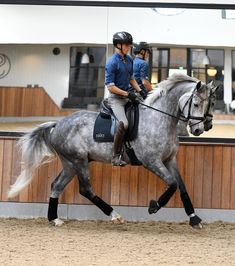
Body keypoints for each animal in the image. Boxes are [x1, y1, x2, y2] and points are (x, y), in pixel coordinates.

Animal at [8, 74, 215, 228]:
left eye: (209, 104)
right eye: (196, 104)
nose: (199, 129)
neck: (159, 119)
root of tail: (57, 124)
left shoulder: (170, 160)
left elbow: (181, 186)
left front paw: (194, 218)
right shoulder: (151, 161)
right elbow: (172, 184)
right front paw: (154, 206)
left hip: (70, 164)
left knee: (57, 185)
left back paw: (55, 219)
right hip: (78, 161)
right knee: (85, 189)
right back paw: (115, 215)